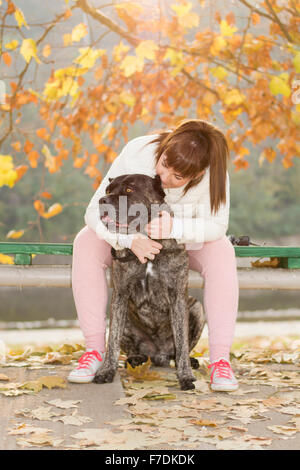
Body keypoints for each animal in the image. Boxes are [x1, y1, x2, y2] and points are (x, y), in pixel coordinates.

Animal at [95, 173, 205, 390]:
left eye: (129, 190)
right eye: (108, 190)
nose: (102, 201)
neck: (147, 239)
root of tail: (159, 355)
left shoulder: (177, 296)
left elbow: (182, 341)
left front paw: (185, 375)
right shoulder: (120, 296)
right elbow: (112, 341)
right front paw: (106, 370)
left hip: (197, 308)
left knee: (180, 349)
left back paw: (188, 361)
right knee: (132, 347)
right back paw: (136, 358)